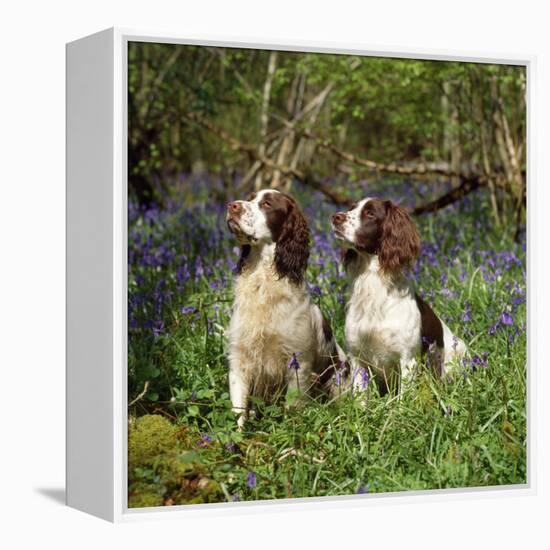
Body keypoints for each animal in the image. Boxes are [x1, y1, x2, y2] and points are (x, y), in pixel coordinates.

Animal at [226, 190, 342, 432]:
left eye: (267, 203)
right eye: (249, 197)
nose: (232, 206)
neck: (263, 283)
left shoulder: (298, 363)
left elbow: (292, 406)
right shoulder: (240, 359)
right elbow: (239, 411)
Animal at [332, 198, 466, 396]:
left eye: (370, 213)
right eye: (352, 208)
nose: (336, 217)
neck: (374, 287)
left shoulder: (407, 359)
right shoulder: (357, 358)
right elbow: (359, 397)